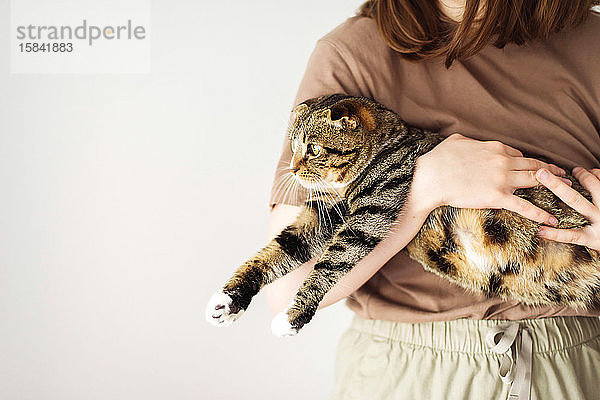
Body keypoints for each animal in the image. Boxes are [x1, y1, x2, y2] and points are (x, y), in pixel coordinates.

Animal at [204, 93, 596, 334]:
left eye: (312, 149)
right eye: (293, 145)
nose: (293, 168)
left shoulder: (368, 216)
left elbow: (328, 265)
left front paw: (293, 317)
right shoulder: (323, 215)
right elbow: (275, 253)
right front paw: (230, 299)